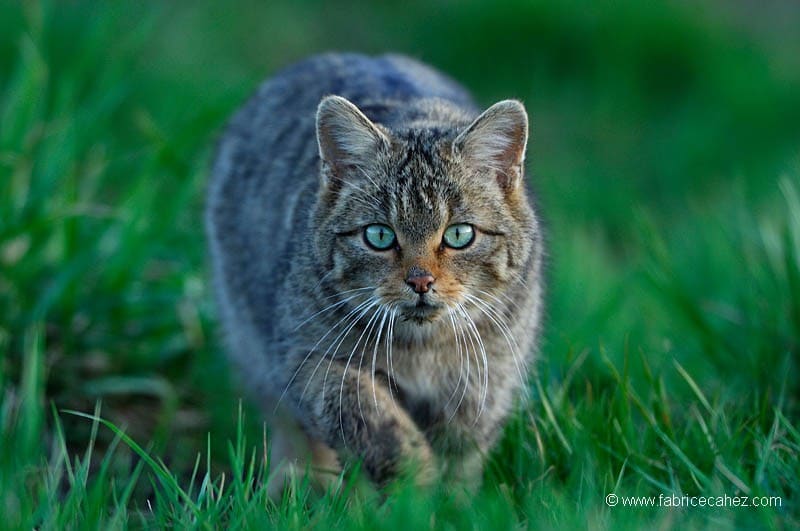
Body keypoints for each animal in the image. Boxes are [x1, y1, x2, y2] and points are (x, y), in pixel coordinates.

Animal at [206, 54, 544, 494]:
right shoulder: (307, 360)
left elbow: (460, 458)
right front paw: (414, 485)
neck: (422, 349)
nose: (420, 282)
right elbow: (373, 420)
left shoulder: (486, 382)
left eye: (459, 234)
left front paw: (449, 500)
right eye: (380, 235)